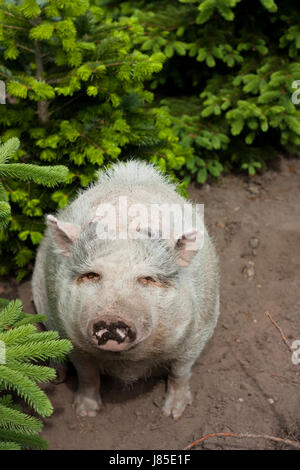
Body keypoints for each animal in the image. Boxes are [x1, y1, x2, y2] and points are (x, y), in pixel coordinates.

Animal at [31, 161, 219, 418]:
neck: (128, 364)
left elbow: (180, 371)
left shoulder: (200, 329)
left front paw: (172, 413)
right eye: (91, 275)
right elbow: (87, 374)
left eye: (147, 278)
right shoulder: (69, 334)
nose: (111, 319)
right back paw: (56, 378)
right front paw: (86, 412)